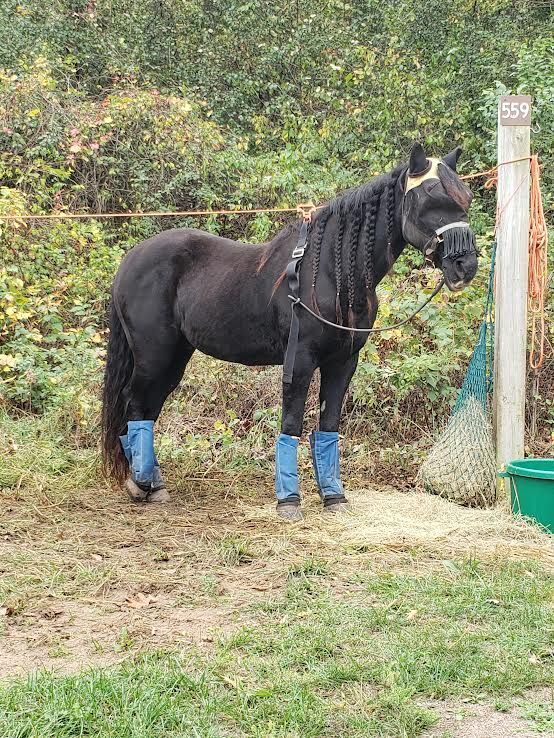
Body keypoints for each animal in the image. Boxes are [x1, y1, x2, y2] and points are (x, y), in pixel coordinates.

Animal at [101, 142, 478, 520]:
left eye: (465, 198)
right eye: (429, 198)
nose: (466, 266)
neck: (329, 273)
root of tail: (130, 259)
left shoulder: (343, 362)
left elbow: (329, 424)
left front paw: (334, 497)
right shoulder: (300, 360)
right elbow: (292, 422)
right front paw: (289, 501)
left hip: (175, 356)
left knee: (149, 407)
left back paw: (153, 484)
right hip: (153, 354)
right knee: (135, 402)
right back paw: (141, 484)